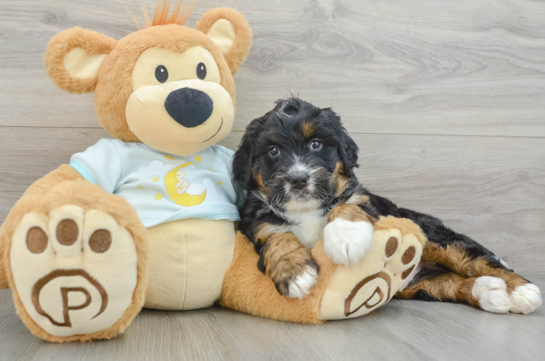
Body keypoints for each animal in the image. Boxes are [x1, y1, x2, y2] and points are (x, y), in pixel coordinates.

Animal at [233, 97, 540, 314]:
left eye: (316, 144)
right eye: (273, 151)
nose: (298, 179)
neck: (306, 209)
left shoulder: (366, 201)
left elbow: (348, 206)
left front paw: (346, 239)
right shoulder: (255, 218)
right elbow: (276, 235)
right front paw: (295, 273)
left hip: (431, 234)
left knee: (474, 259)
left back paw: (522, 291)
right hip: (416, 285)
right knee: (450, 283)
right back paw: (489, 292)